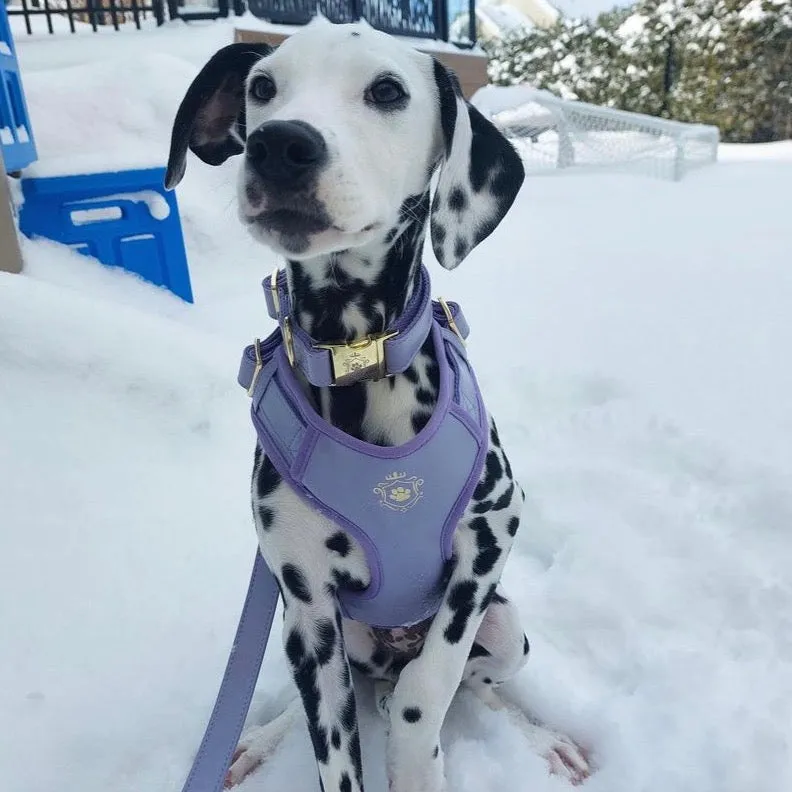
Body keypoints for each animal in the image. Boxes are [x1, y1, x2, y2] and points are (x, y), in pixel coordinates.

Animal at [166, 17, 588, 792]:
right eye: (262, 88)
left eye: (387, 91)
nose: (281, 145)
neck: (357, 355)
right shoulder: (307, 602)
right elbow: (335, 752)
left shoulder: (490, 535)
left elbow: (431, 685)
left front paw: (417, 758)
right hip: (317, 634)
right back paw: (257, 740)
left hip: (506, 626)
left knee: (468, 684)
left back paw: (540, 741)